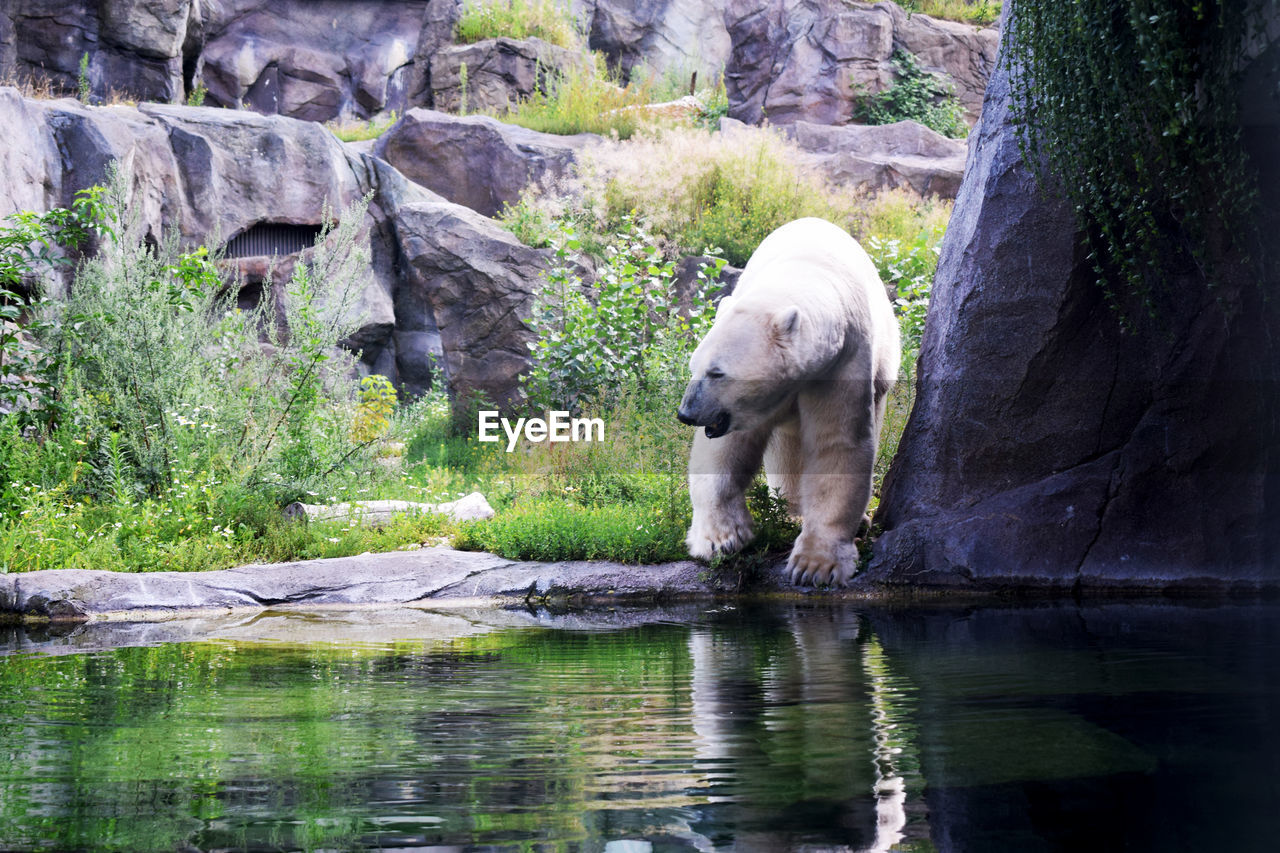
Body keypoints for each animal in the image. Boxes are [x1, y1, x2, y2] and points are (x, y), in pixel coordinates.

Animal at [680, 217, 901, 584]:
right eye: (694, 366)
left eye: (717, 372)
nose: (686, 413)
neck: (805, 271)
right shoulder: (744, 407)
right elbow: (725, 448)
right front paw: (721, 539)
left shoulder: (844, 360)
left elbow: (838, 443)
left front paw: (815, 565)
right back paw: (792, 512)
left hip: (884, 367)